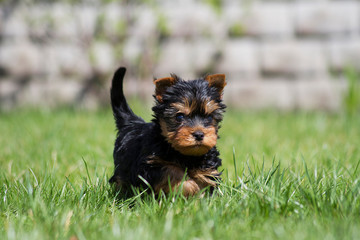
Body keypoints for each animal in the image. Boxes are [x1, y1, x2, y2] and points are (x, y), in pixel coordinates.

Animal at [109, 66, 225, 196]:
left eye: (209, 117)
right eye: (179, 116)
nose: (199, 134)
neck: (184, 155)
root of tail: (132, 122)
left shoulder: (208, 167)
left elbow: (205, 177)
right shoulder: (149, 167)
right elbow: (172, 171)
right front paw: (191, 186)